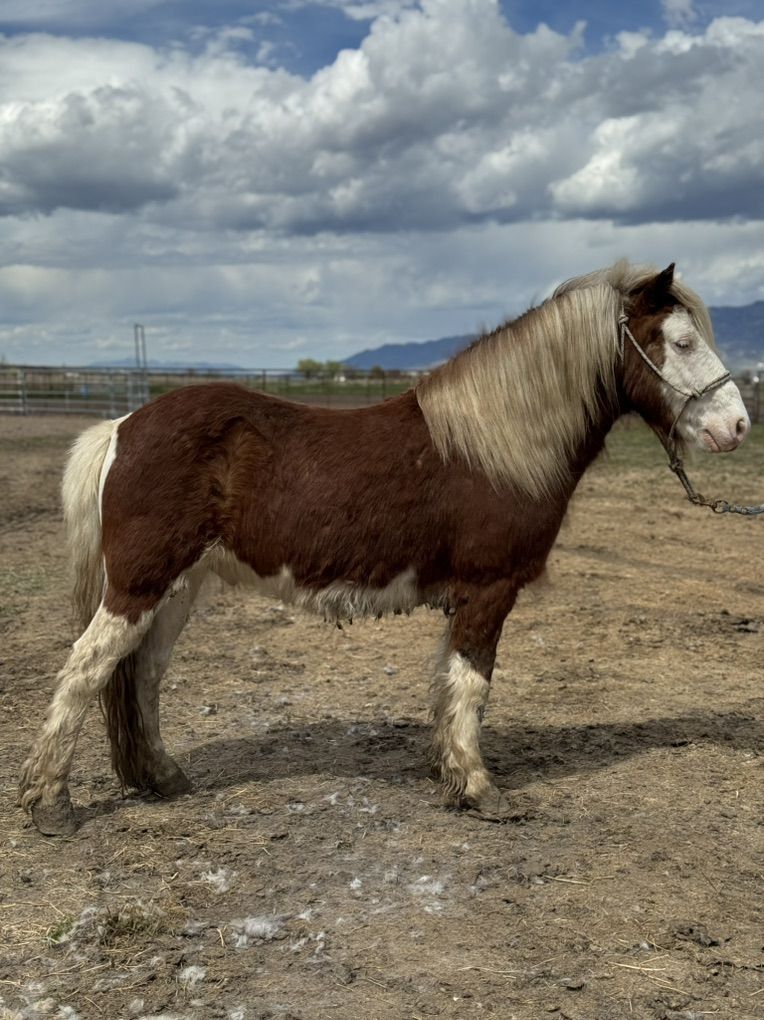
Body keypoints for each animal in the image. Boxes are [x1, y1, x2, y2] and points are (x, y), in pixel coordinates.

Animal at [19, 261, 750, 835]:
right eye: (681, 341)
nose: (738, 425)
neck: (497, 444)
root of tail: (122, 427)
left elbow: (449, 685)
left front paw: (450, 773)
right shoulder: (489, 590)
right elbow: (473, 683)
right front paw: (481, 789)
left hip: (178, 587)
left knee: (142, 674)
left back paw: (162, 777)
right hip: (139, 584)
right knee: (85, 670)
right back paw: (51, 804)